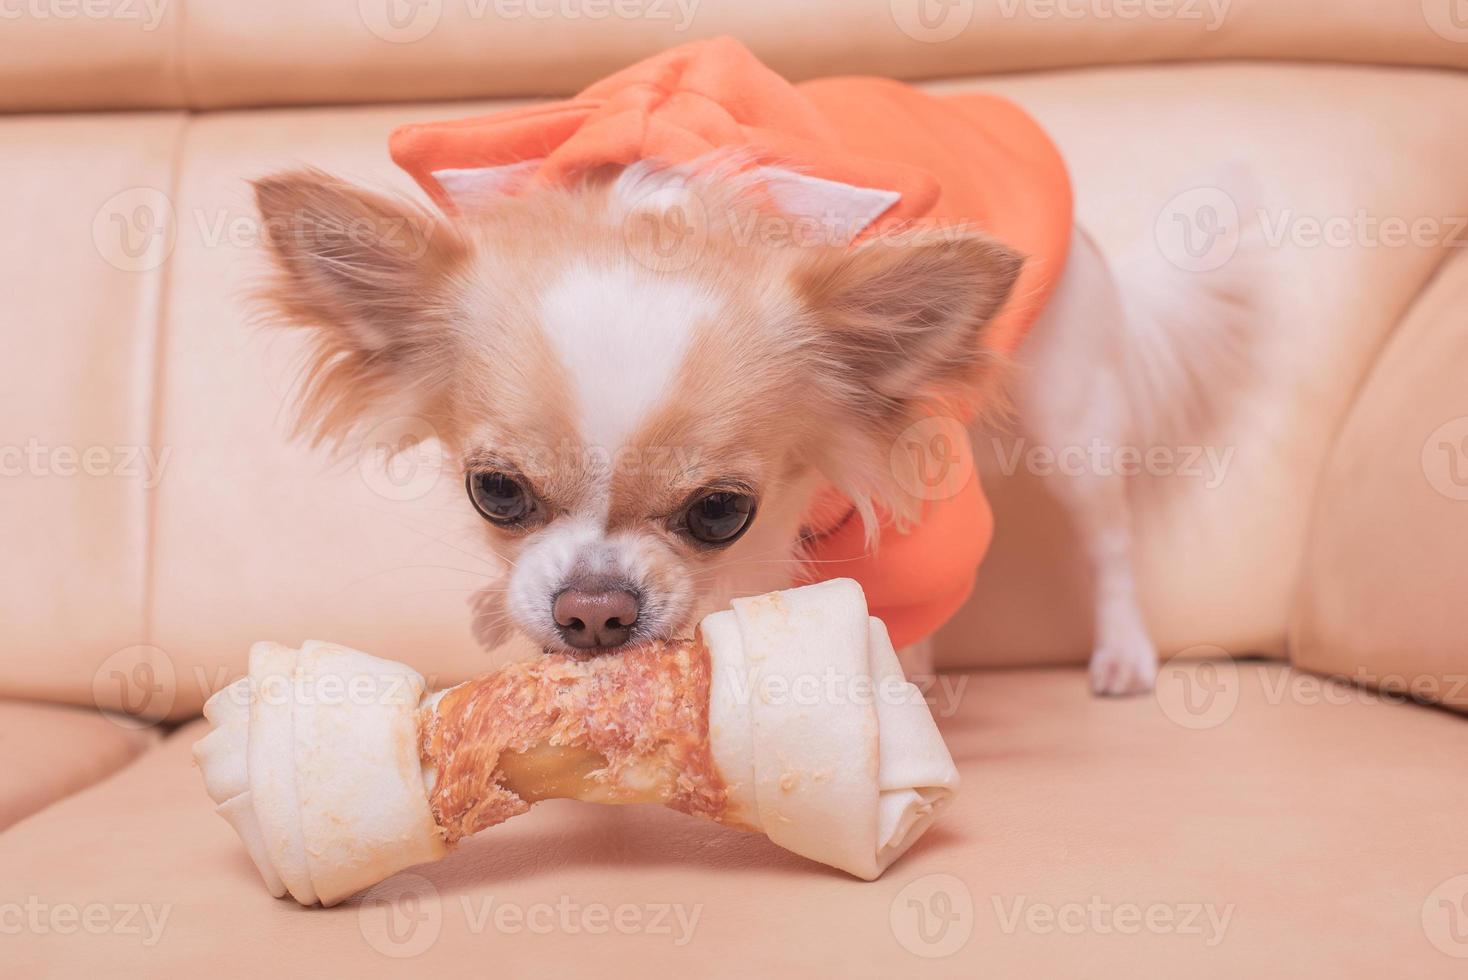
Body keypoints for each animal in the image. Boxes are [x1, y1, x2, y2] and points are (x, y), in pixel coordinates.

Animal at [249, 42, 1250, 695]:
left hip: (1074, 420)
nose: (594, 612)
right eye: (494, 491)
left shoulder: (915, 507)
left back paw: (1121, 654)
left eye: (720, 512)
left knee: (1108, 538)